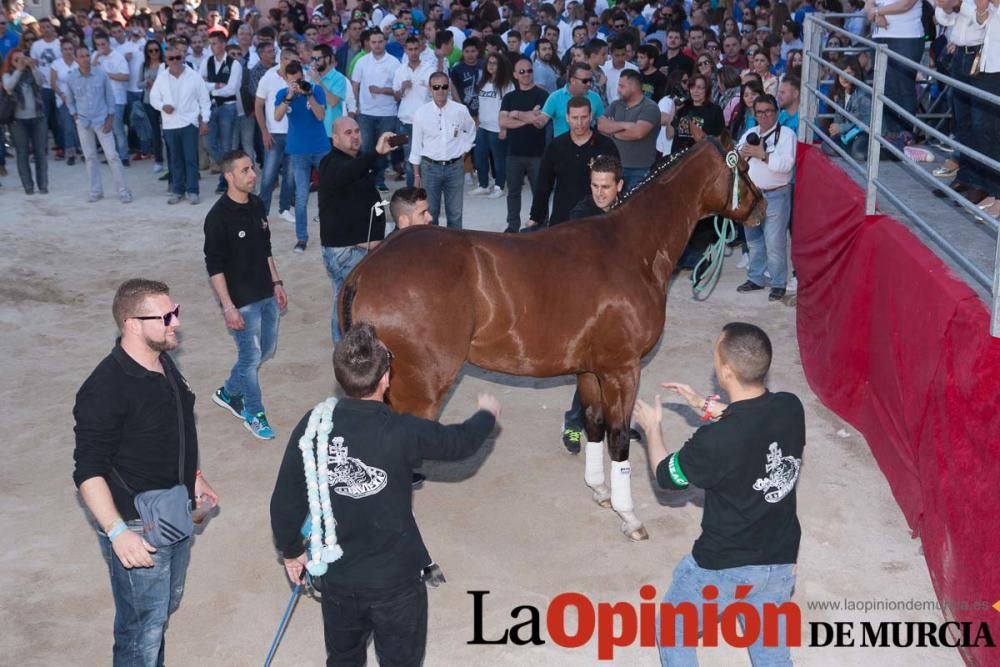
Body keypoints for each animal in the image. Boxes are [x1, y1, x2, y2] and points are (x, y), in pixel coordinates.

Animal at [336, 140, 764, 544]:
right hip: (419, 390)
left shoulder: (590, 371)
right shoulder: (622, 370)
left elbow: (593, 424)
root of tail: (368, 266)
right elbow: (619, 438)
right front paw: (629, 516)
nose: (760, 208)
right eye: (742, 167)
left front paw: (600, 492)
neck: (630, 249)